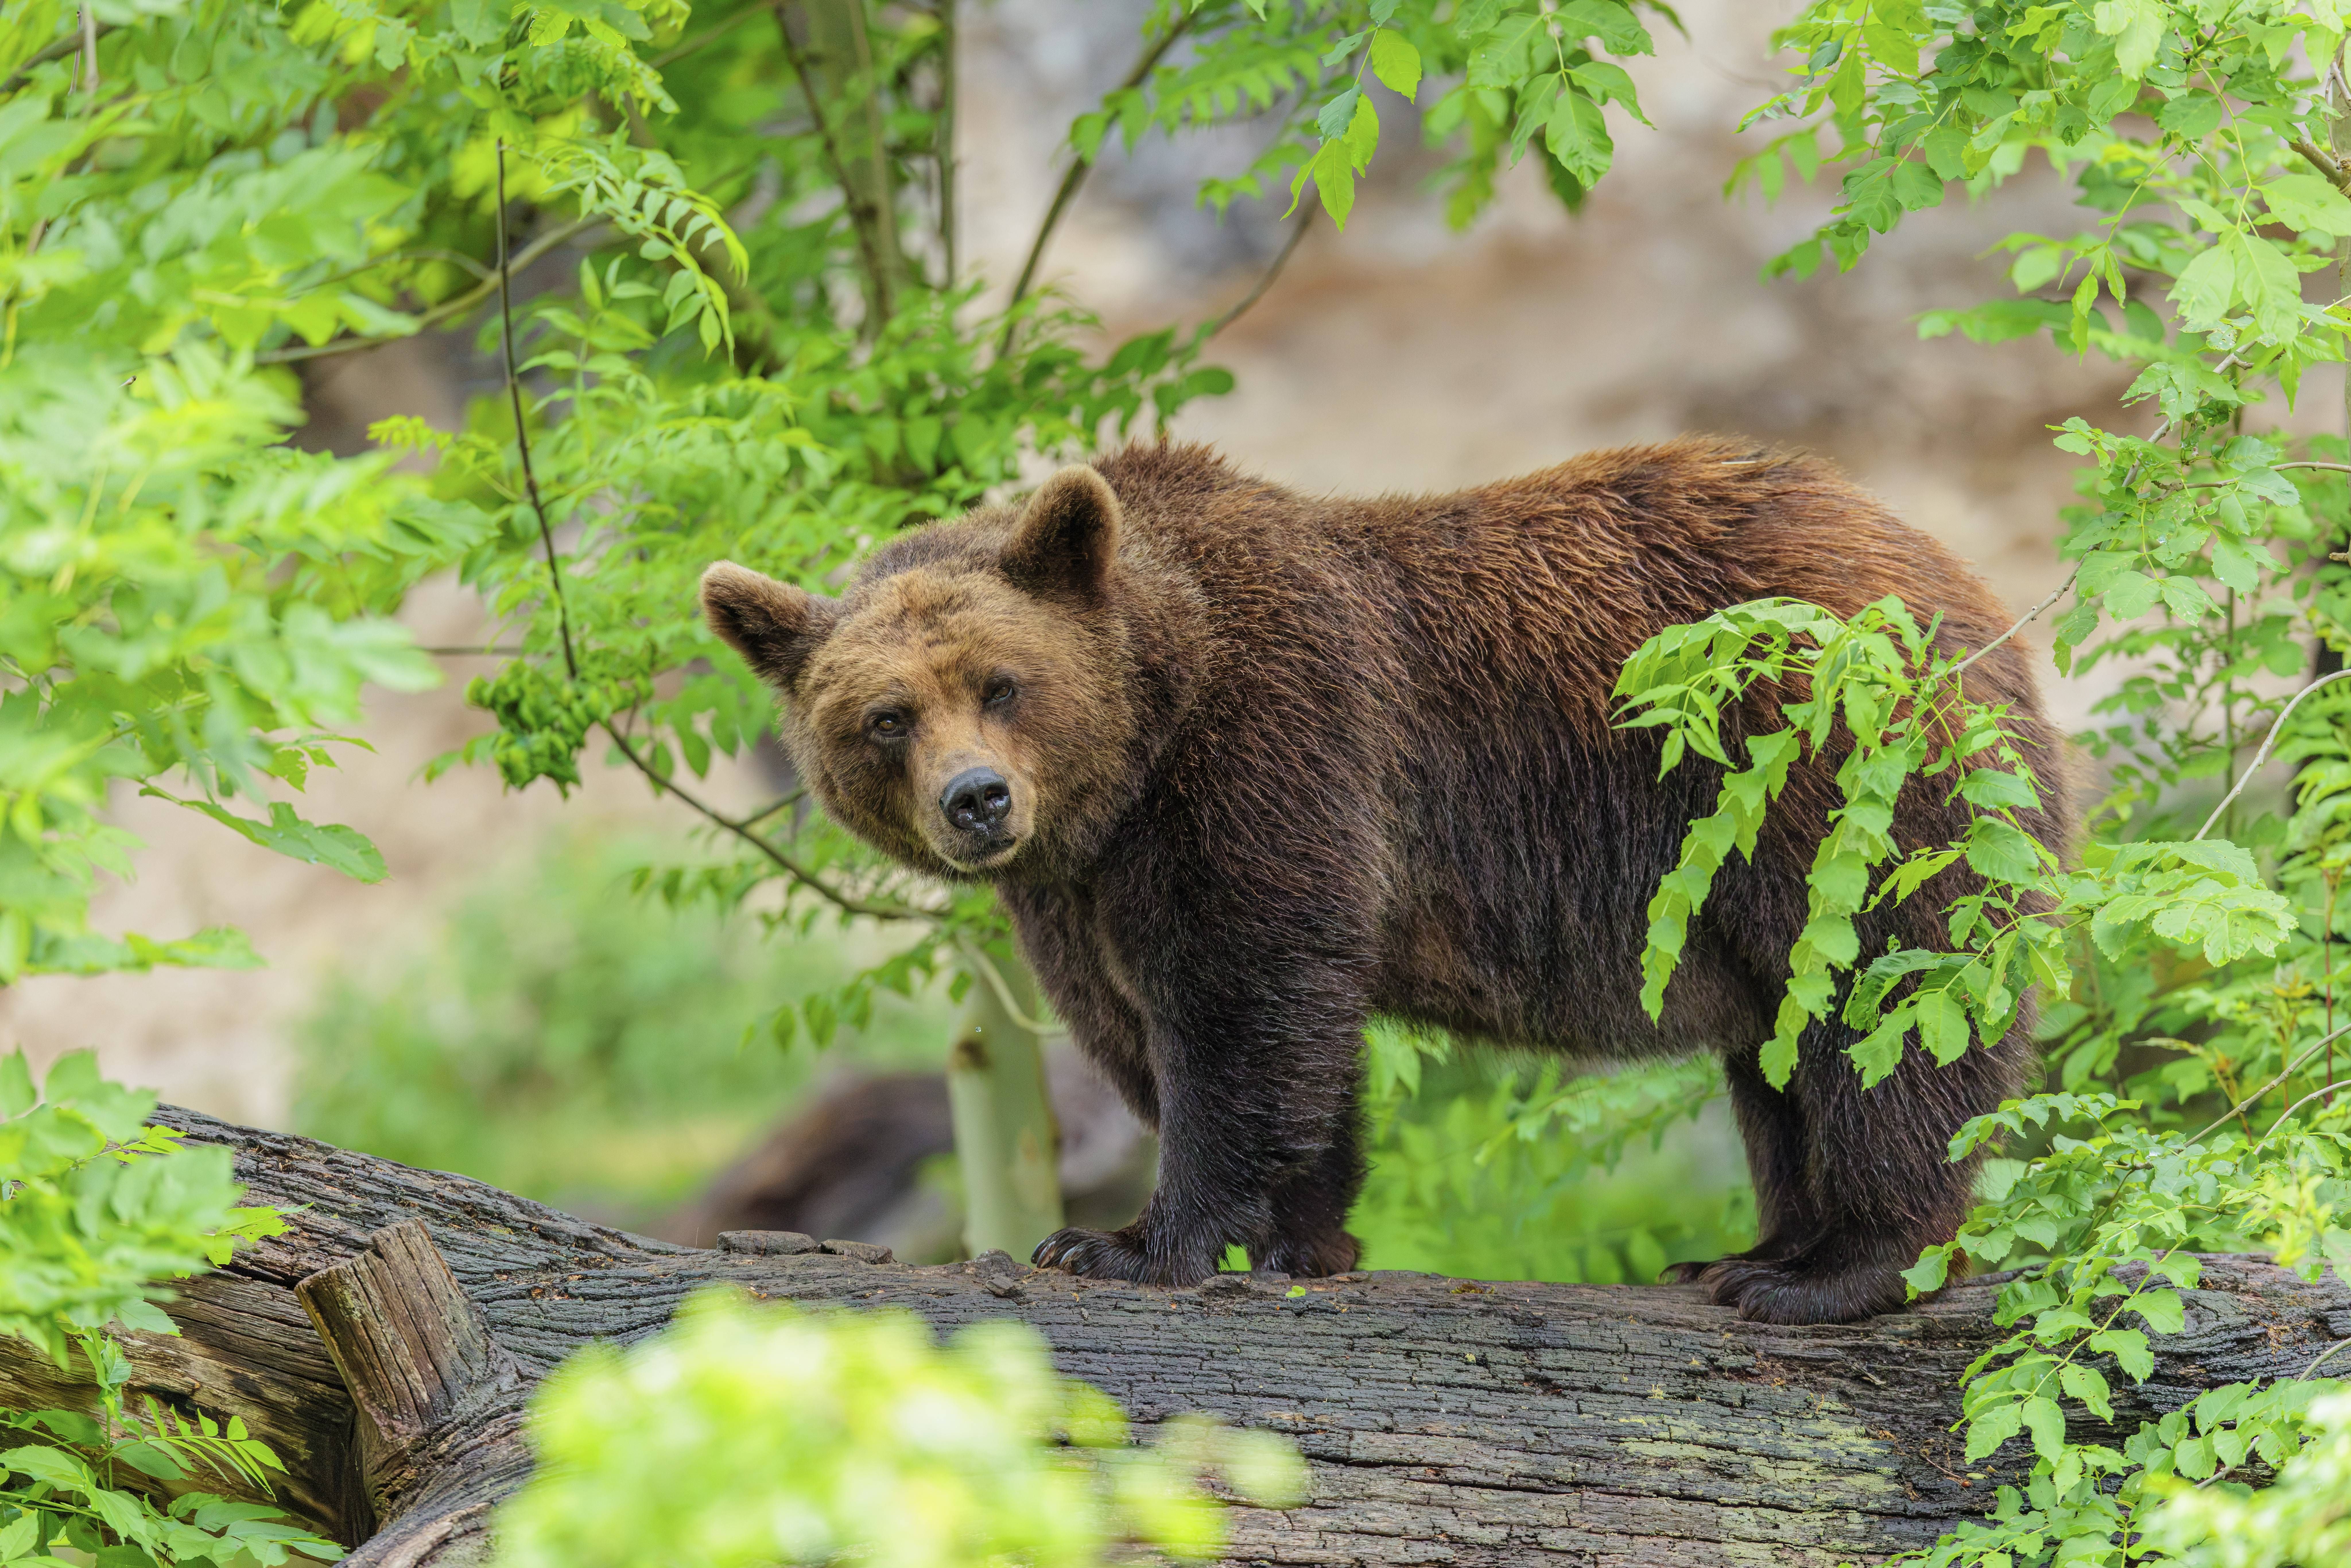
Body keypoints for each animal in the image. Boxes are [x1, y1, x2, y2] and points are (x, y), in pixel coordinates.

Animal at [699, 437, 2069, 1324]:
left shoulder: (1274, 745)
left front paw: (1132, 1241)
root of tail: (1955, 578)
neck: (1144, 740)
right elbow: (1161, 1019)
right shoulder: (1080, 883)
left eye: (1000, 682)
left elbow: (1243, 1000)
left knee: (1885, 1003)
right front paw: (1297, 1235)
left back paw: (1827, 1269)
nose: (977, 800)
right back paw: (1746, 1247)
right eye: (885, 716)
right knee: (1780, 1048)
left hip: (1817, 773)